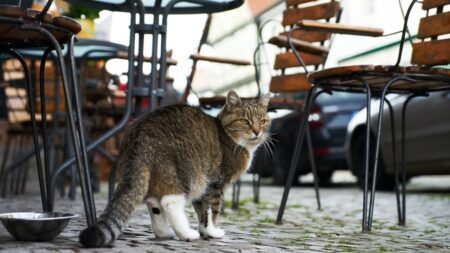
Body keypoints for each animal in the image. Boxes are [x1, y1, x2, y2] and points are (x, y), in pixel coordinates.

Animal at [78, 90, 268, 246]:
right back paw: (187, 234)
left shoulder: (204, 186)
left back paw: (164, 233)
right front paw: (212, 232)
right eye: (245, 121)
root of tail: (140, 138)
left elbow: (201, 210)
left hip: (160, 175)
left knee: (154, 202)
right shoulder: (215, 183)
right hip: (186, 173)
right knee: (169, 202)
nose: (257, 131)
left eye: (263, 121)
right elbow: (212, 211)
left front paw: (204, 230)